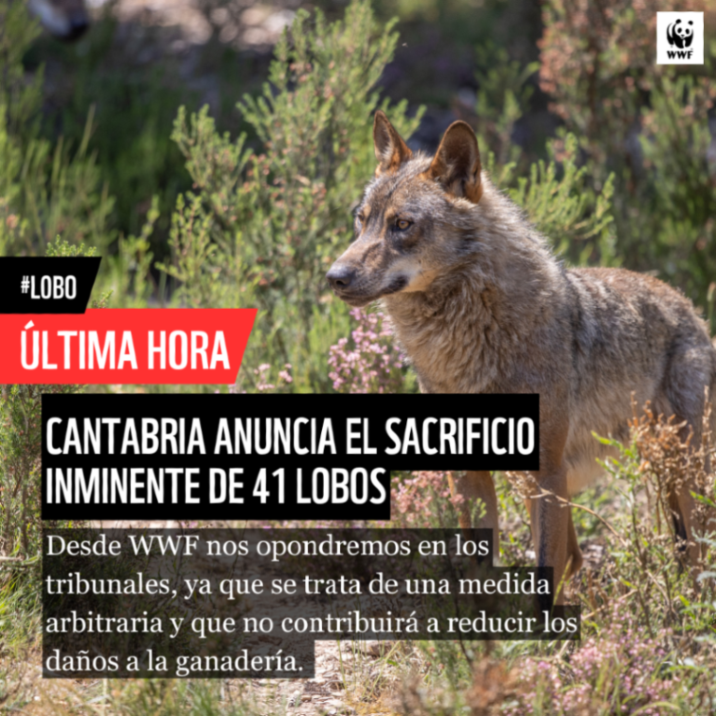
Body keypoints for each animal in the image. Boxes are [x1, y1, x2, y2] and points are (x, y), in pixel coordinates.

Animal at [327, 111, 716, 602]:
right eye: (362, 222)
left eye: (402, 224)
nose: (334, 276)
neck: (466, 351)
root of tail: (690, 308)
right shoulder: (469, 474)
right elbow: (480, 570)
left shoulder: (547, 471)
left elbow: (544, 576)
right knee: (579, 558)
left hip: (681, 478)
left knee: (690, 559)